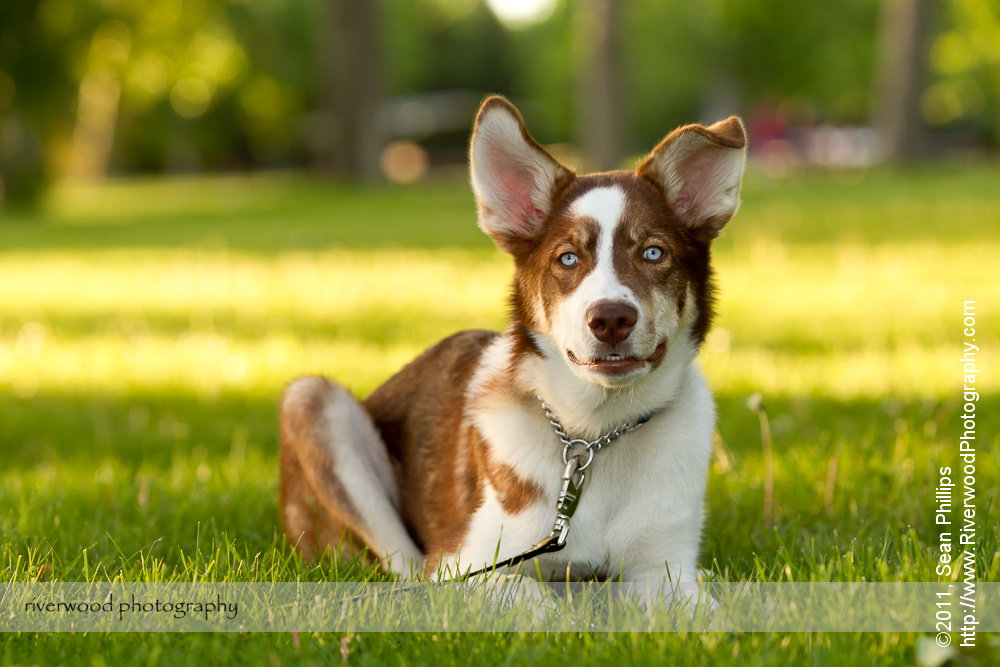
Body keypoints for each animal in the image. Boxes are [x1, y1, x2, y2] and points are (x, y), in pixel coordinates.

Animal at [278, 95, 748, 588]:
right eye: (568, 258)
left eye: (654, 253)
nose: (611, 319)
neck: (595, 433)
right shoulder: (466, 563)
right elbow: (533, 597)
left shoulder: (665, 569)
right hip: (311, 399)